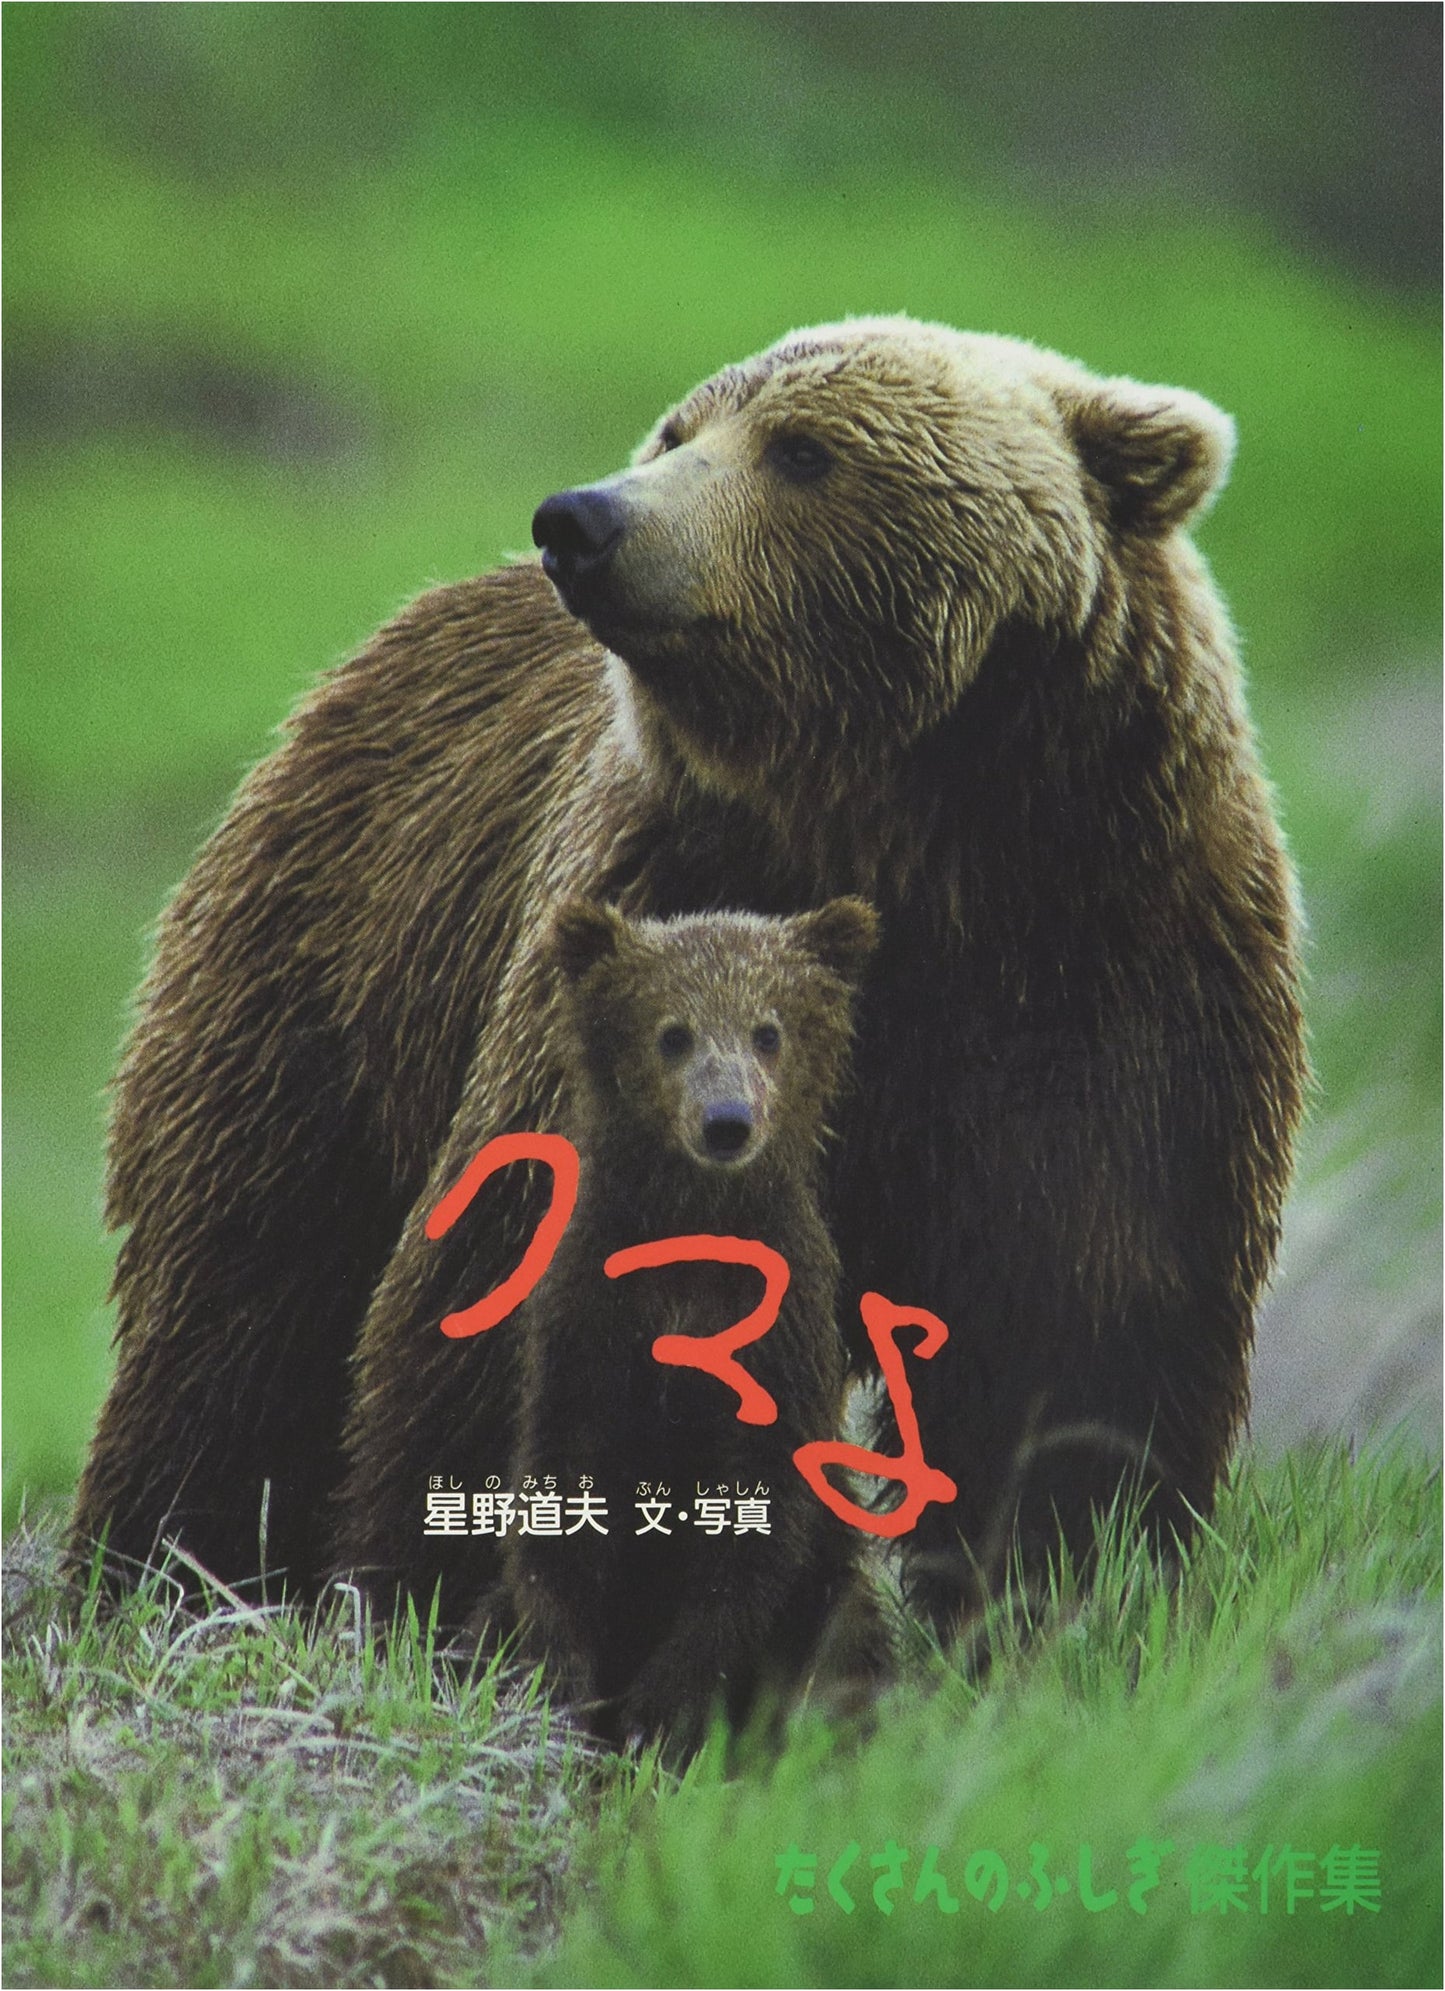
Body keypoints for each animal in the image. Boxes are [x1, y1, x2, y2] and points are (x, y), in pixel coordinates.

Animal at [71, 316, 1306, 1641]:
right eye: (677, 429)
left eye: (804, 449)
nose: (581, 519)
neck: (897, 821)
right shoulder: (651, 909)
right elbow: (521, 1263)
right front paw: (464, 1599)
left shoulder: (1108, 957)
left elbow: (1080, 1306)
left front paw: (1058, 1585)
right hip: (326, 967)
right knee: (247, 1289)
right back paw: (163, 1566)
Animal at [497, 894, 887, 1754]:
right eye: (672, 1031)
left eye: (768, 1029)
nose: (726, 1121)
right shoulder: (589, 1322)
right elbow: (562, 1493)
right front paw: (562, 1685)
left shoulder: (777, 1340)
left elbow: (754, 1540)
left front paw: (661, 1709)